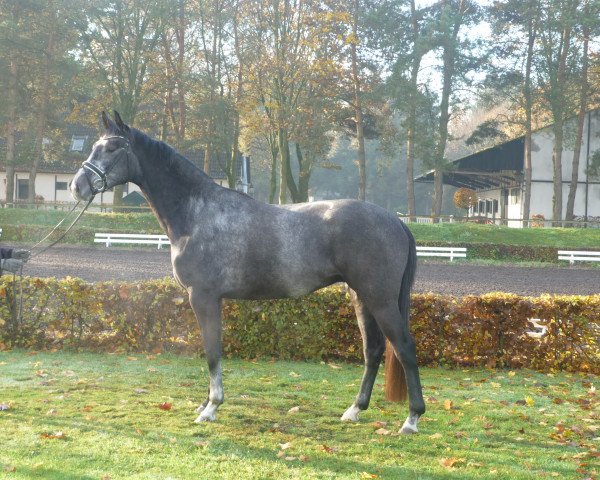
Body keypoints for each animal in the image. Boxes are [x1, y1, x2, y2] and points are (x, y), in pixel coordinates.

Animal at [70, 112, 424, 436]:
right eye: (95, 146)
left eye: (112, 147)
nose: (77, 186)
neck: (197, 212)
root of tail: (395, 220)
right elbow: (211, 348)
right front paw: (205, 403)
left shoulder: (203, 297)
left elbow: (212, 351)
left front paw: (211, 408)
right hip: (360, 296)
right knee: (373, 350)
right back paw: (355, 410)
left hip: (380, 299)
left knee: (404, 347)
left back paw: (411, 419)